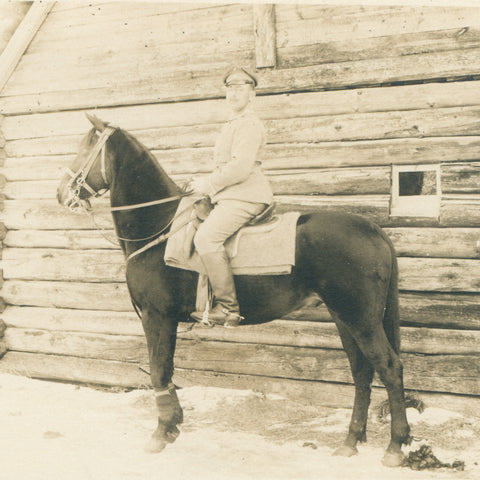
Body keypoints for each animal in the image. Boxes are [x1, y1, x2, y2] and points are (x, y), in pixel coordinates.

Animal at [57, 114, 412, 466]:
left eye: (86, 146)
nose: (61, 193)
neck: (160, 226)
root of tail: (372, 228)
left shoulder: (156, 317)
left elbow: (158, 370)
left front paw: (159, 434)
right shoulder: (165, 320)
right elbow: (168, 370)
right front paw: (172, 427)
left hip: (361, 320)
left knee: (389, 368)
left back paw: (395, 447)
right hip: (344, 317)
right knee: (362, 372)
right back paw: (350, 442)